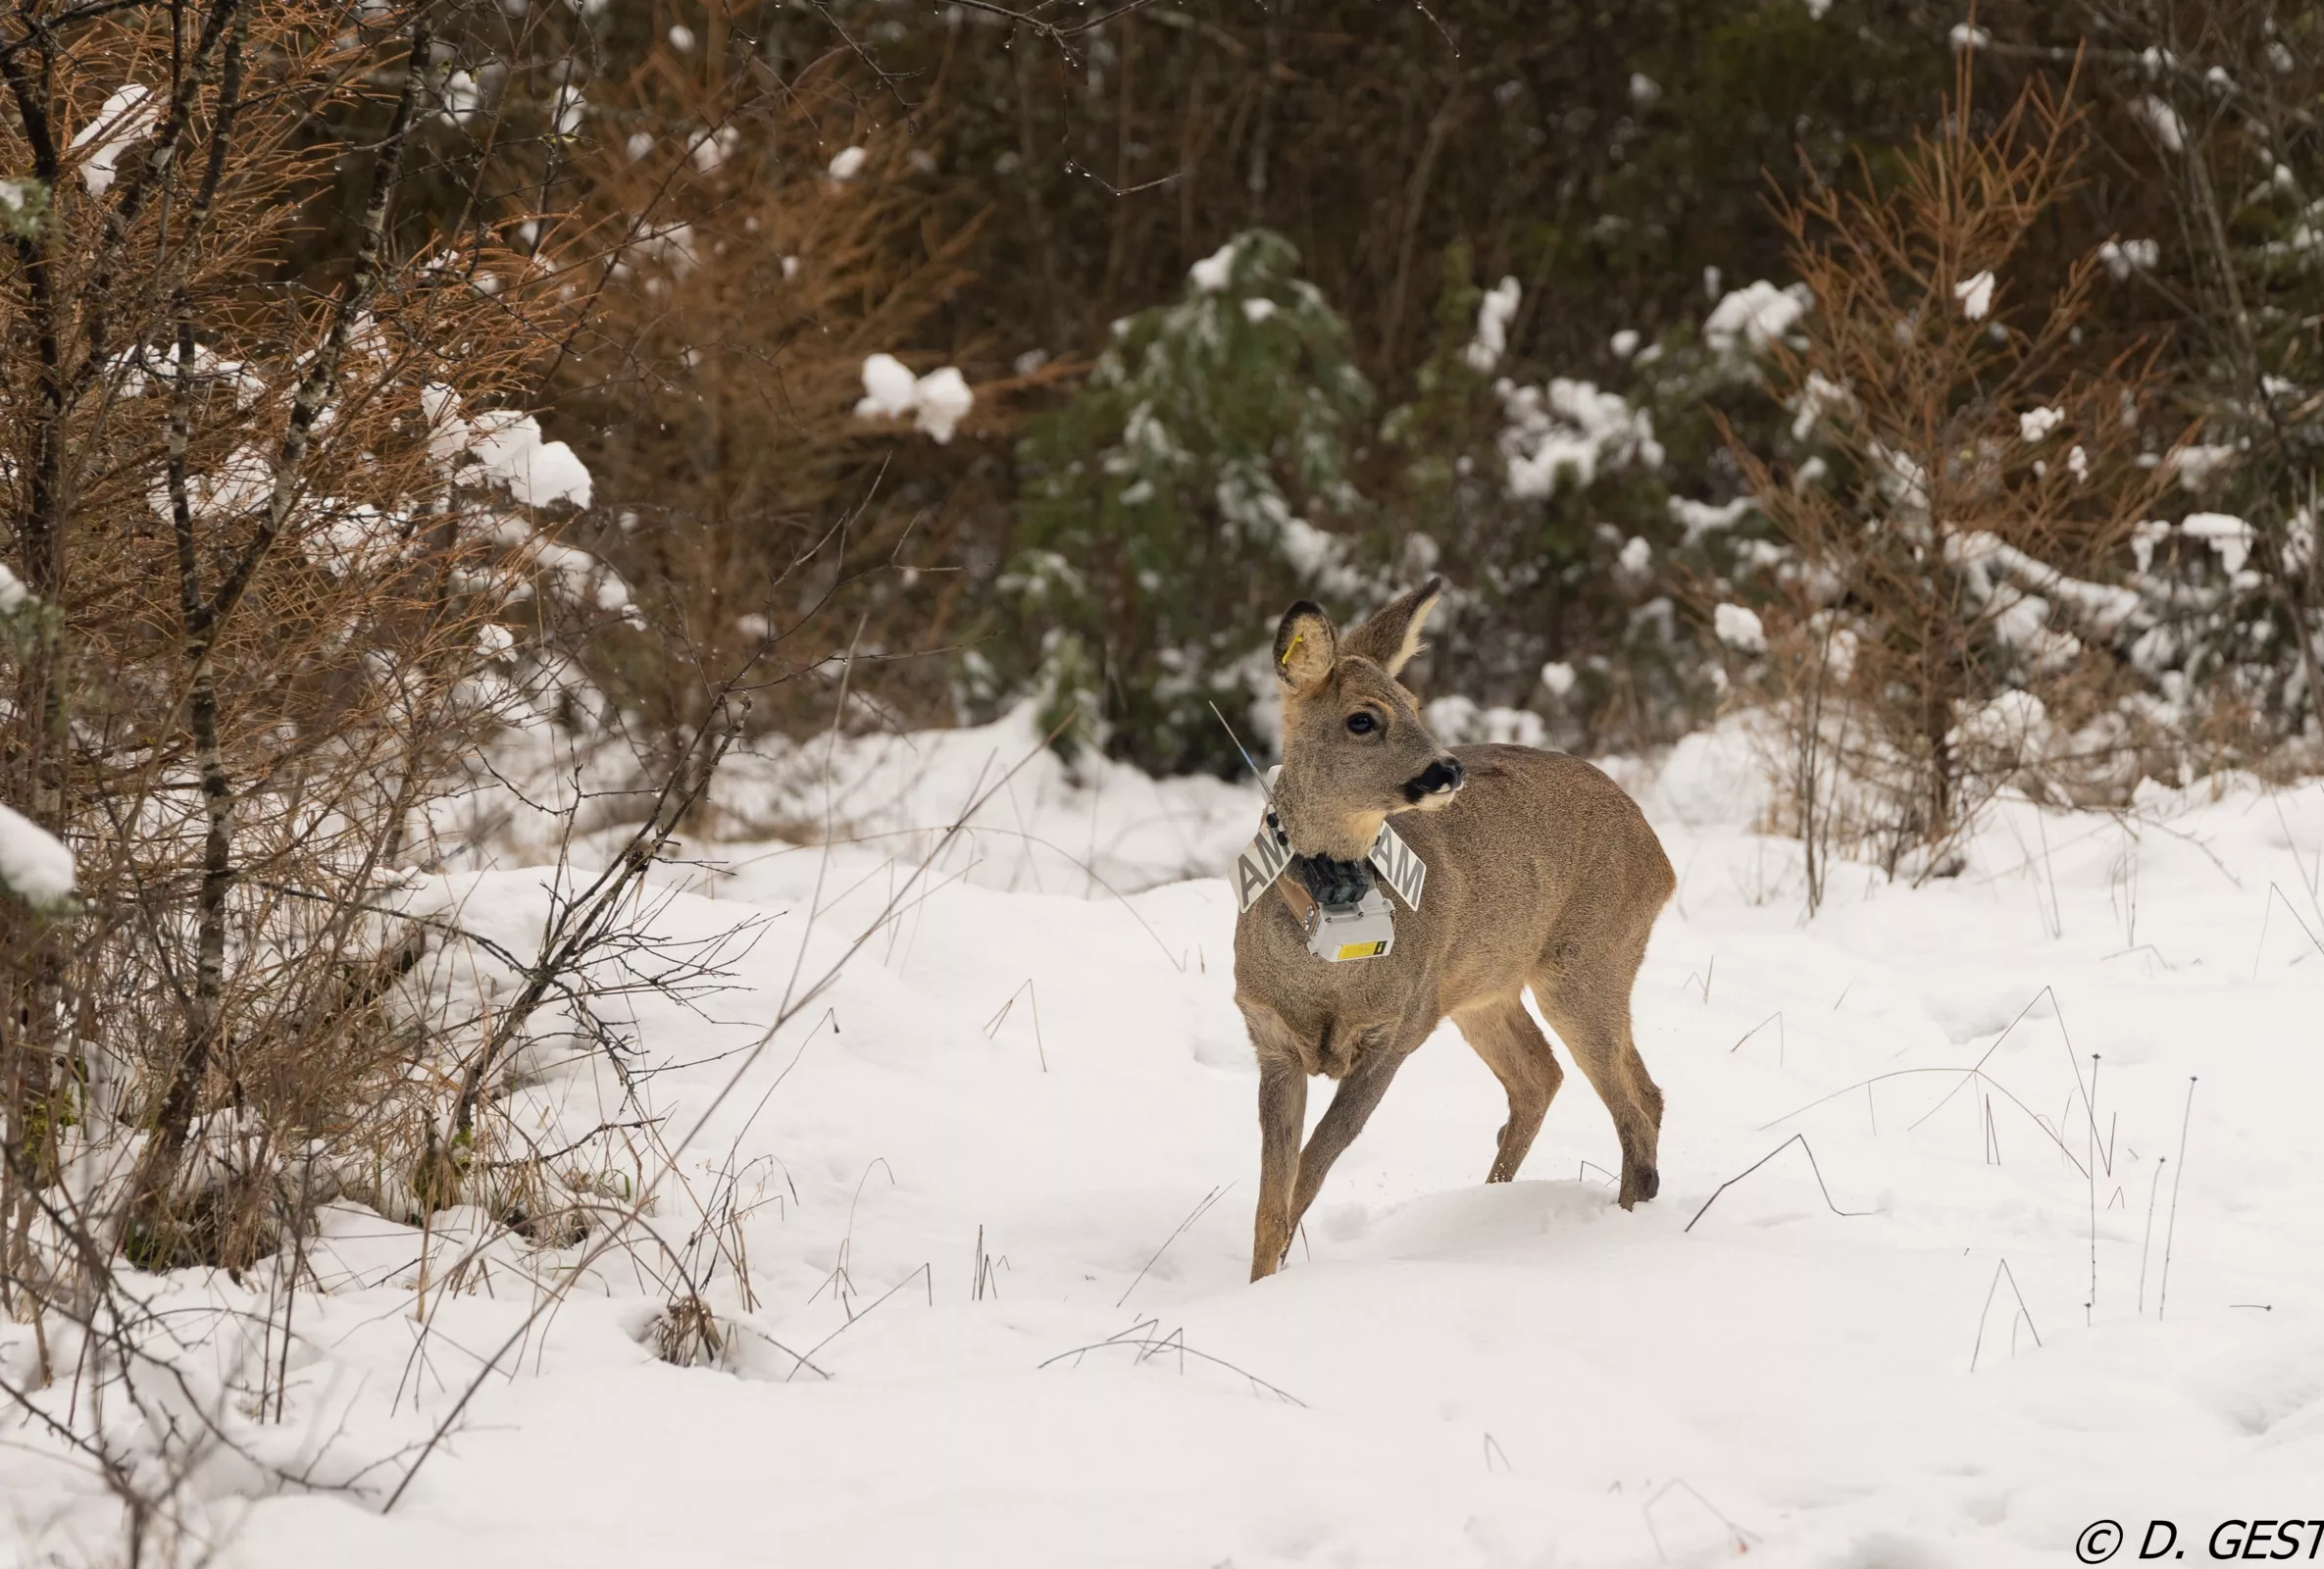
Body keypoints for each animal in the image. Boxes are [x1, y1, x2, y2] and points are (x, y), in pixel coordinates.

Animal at [1236, 582, 1673, 1283]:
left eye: (1414, 704)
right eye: (1363, 719)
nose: (1446, 770)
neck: (1330, 970)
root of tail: (1661, 859)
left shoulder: (1396, 1033)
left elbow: (1311, 1169)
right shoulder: (1272, 1040)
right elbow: (1271, 1197)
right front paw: (1255, 1284)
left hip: (1587, 960)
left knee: (1632, 1102)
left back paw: (1621, 1227)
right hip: (1484, 989)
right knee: (1549, 1078)